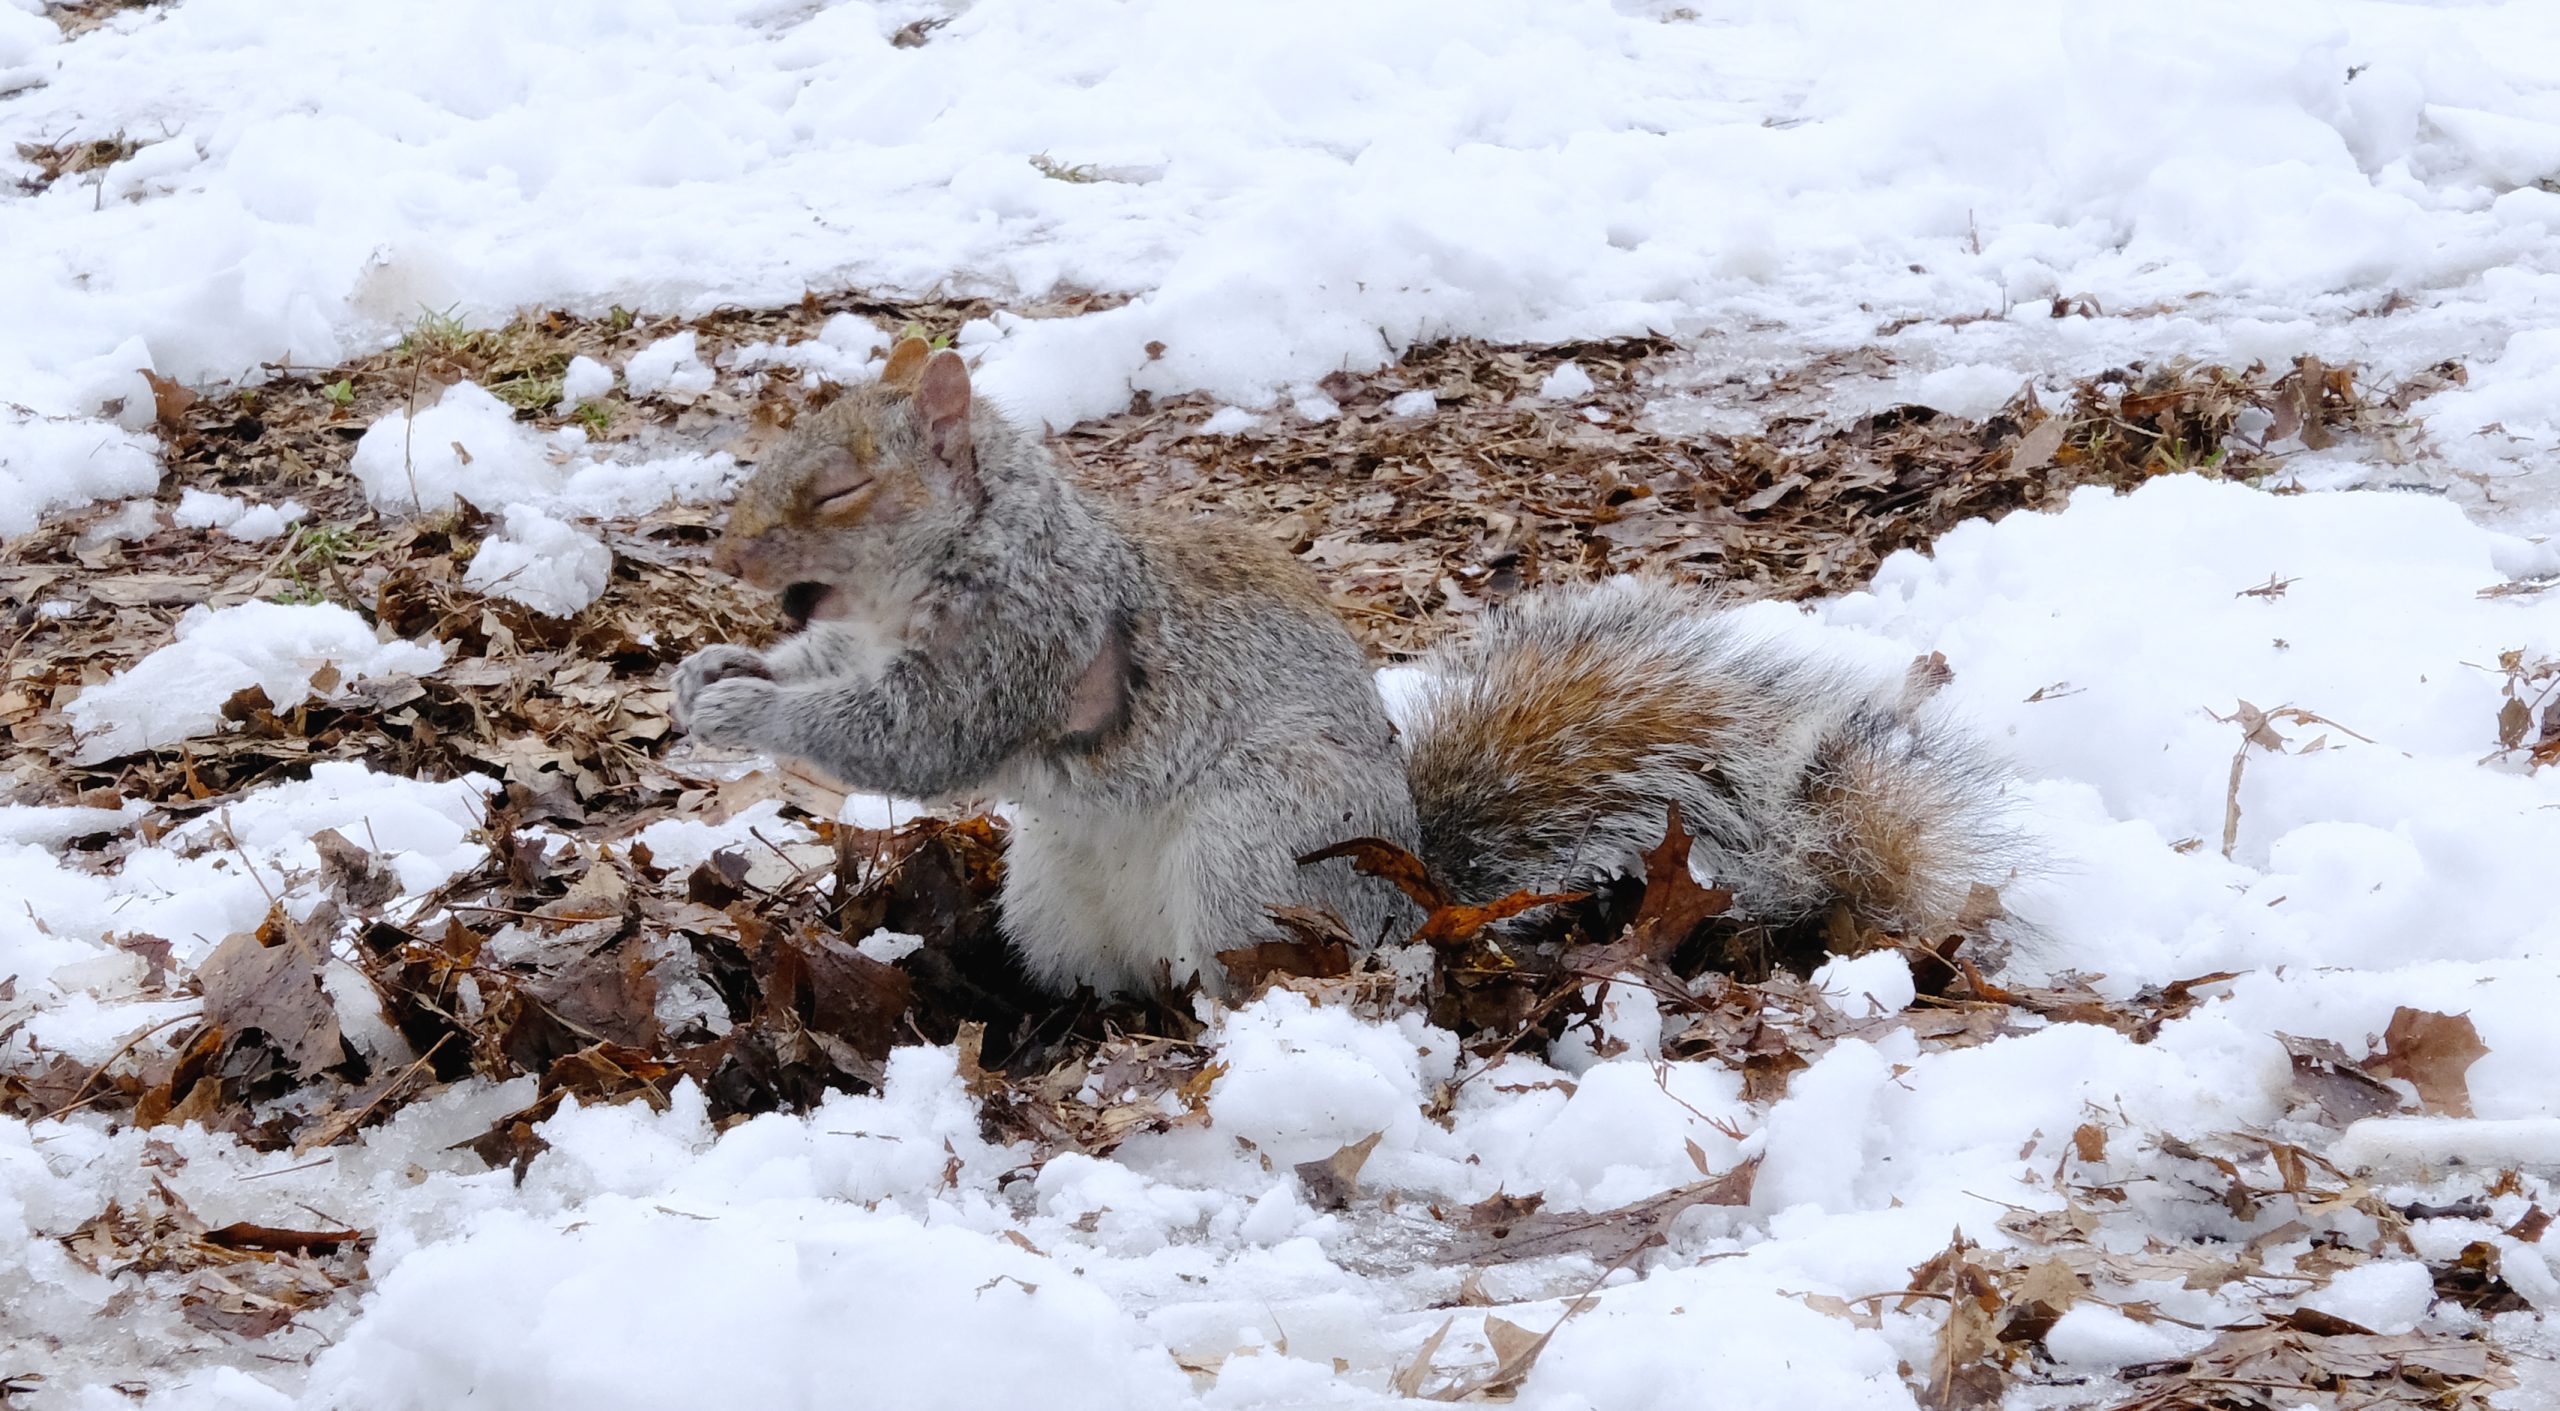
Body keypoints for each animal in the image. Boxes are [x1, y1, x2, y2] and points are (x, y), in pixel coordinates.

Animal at [674, 337, 2022, 996]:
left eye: (839, 488)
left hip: (1255, 852)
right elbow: (829, 660)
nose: (727, 554)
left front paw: (749, 709)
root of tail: (1414, 903)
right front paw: (717, 667)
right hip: (1053, 896)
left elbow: (909, 737)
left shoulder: (1024, 639)